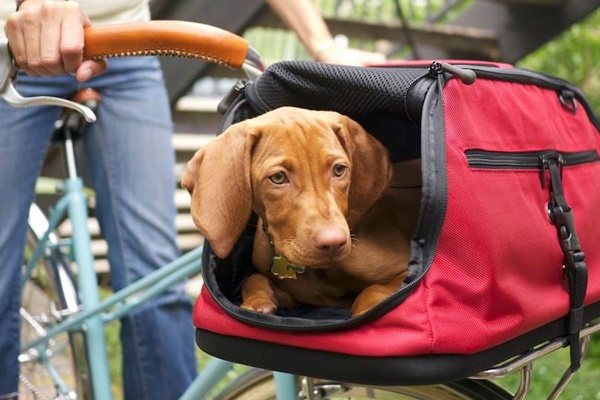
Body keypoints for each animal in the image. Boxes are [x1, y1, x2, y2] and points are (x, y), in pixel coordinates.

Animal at [182, 108, 418, 318]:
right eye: (278, 177)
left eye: (339, 170)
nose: (333, 243)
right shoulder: (297, 296)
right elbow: (254, 279)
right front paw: (257, 303)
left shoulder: (404, 273)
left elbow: (373, 291)